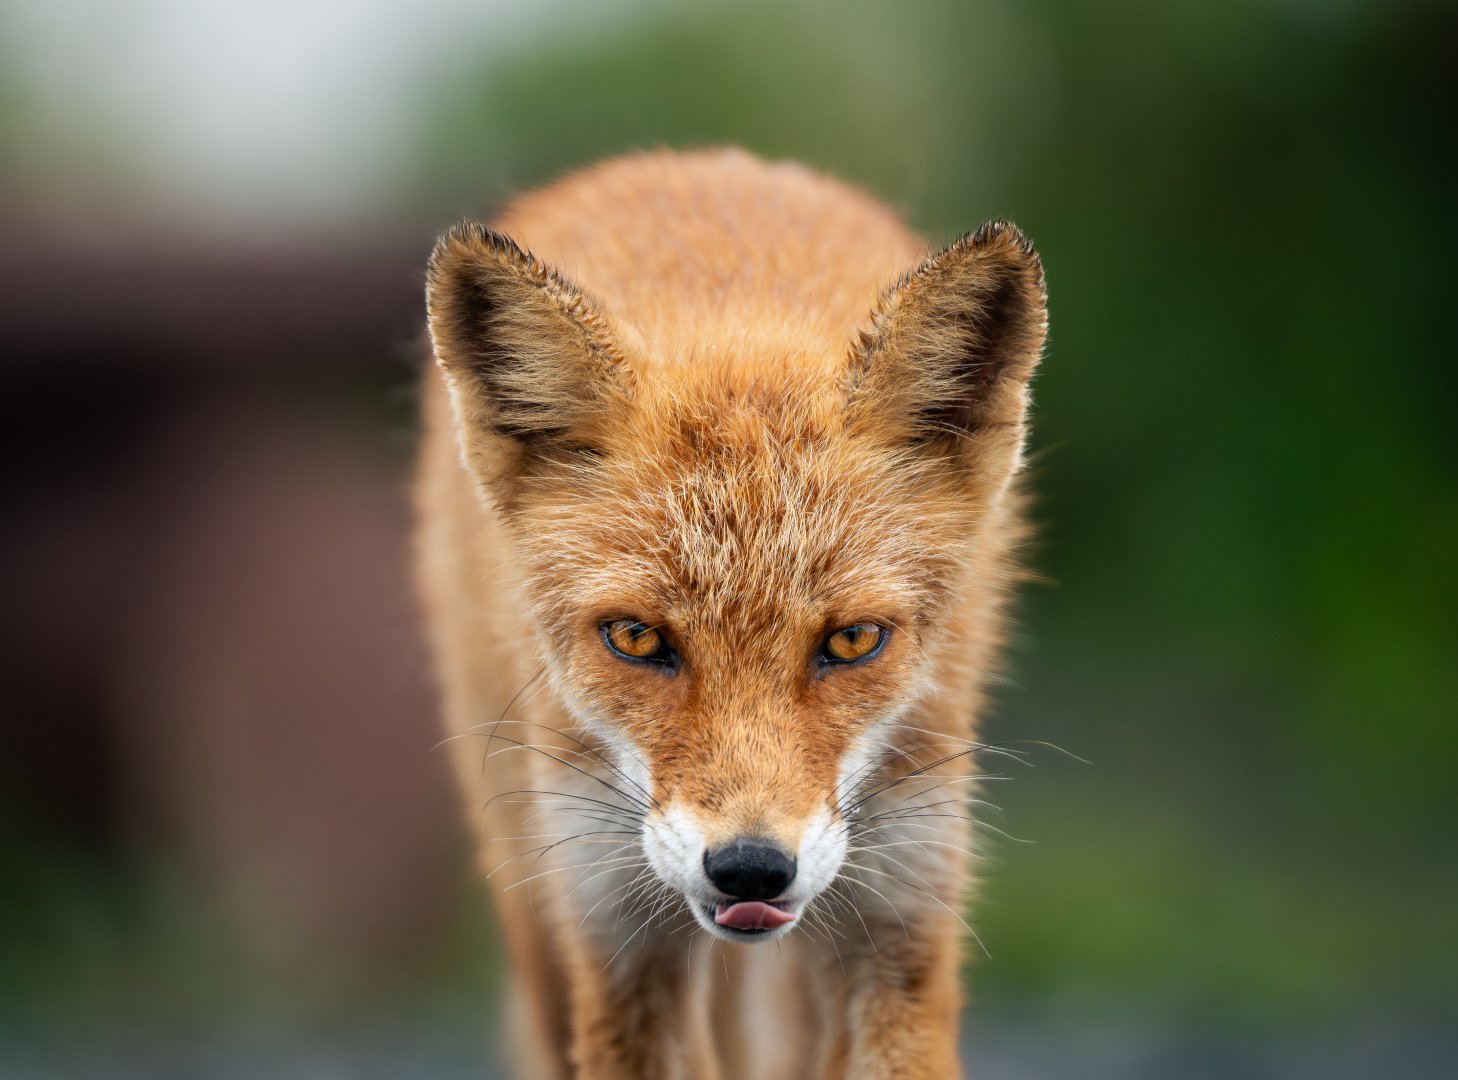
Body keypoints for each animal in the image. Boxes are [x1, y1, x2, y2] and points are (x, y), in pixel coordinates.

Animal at [414, 147, 1046, 1079]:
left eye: (853, 641)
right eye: (636, 638)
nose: (750, 871)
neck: (733, 320)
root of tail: (696, 158)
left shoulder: (901, 913)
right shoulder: (616, 933)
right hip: (536, 894)